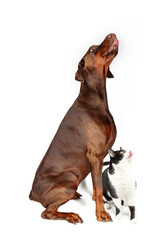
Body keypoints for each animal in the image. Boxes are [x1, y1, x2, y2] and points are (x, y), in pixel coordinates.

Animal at [29, 32, 119, 224]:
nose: (112, 34)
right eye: (92, 49)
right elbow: (99, 189)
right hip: (70, 177)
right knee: (46, 213)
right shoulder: (94, 155)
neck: (96, 99)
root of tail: (32, 194)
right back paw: (71, 215)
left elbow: (96, 186)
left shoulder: (99, 158)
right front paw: (101, 214)